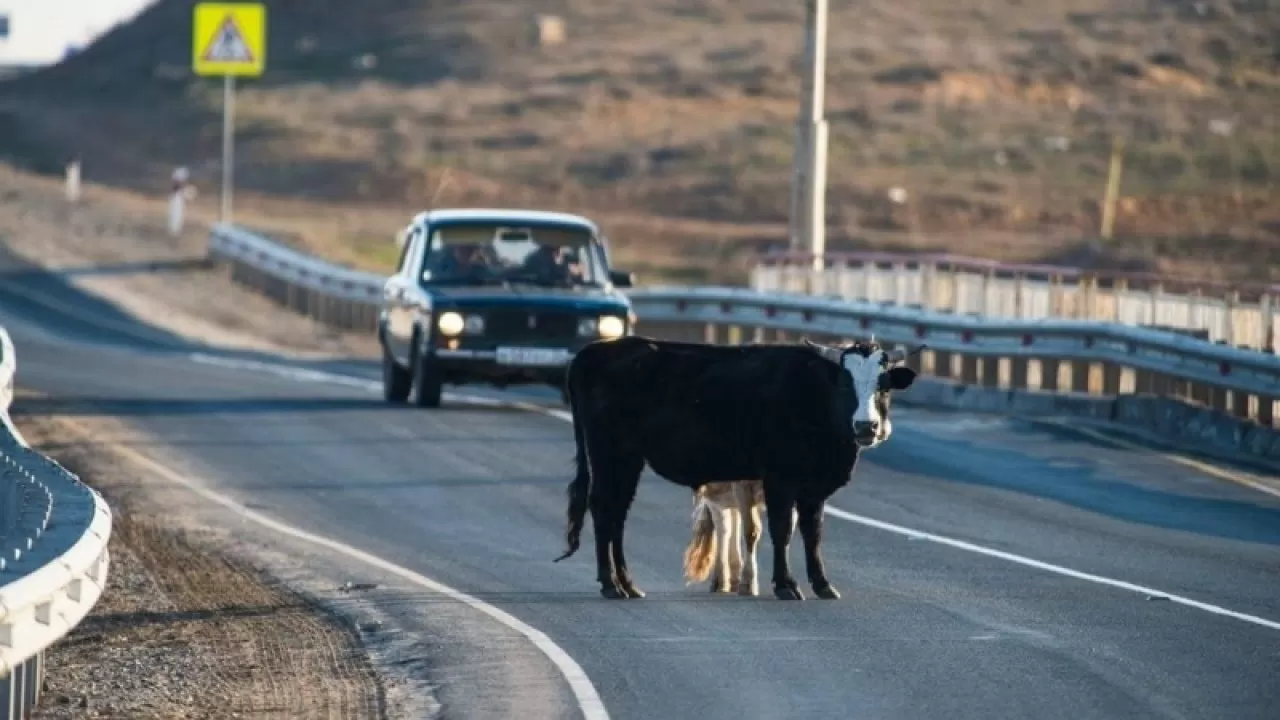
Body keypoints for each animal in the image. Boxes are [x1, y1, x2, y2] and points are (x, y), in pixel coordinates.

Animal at [550, 335, 921, 599]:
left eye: (883, 386)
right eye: (845, 383)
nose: (866, 427)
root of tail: (594, 352)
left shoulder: (814, 486)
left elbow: (813, 533)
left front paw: (822, 584)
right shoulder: (779, 478)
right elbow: (781, 530)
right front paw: (785, 585)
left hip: (626, 460)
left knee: (616, 514)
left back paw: (627, 584)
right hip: (612, 454)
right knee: (604, 510)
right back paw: (611, 584)